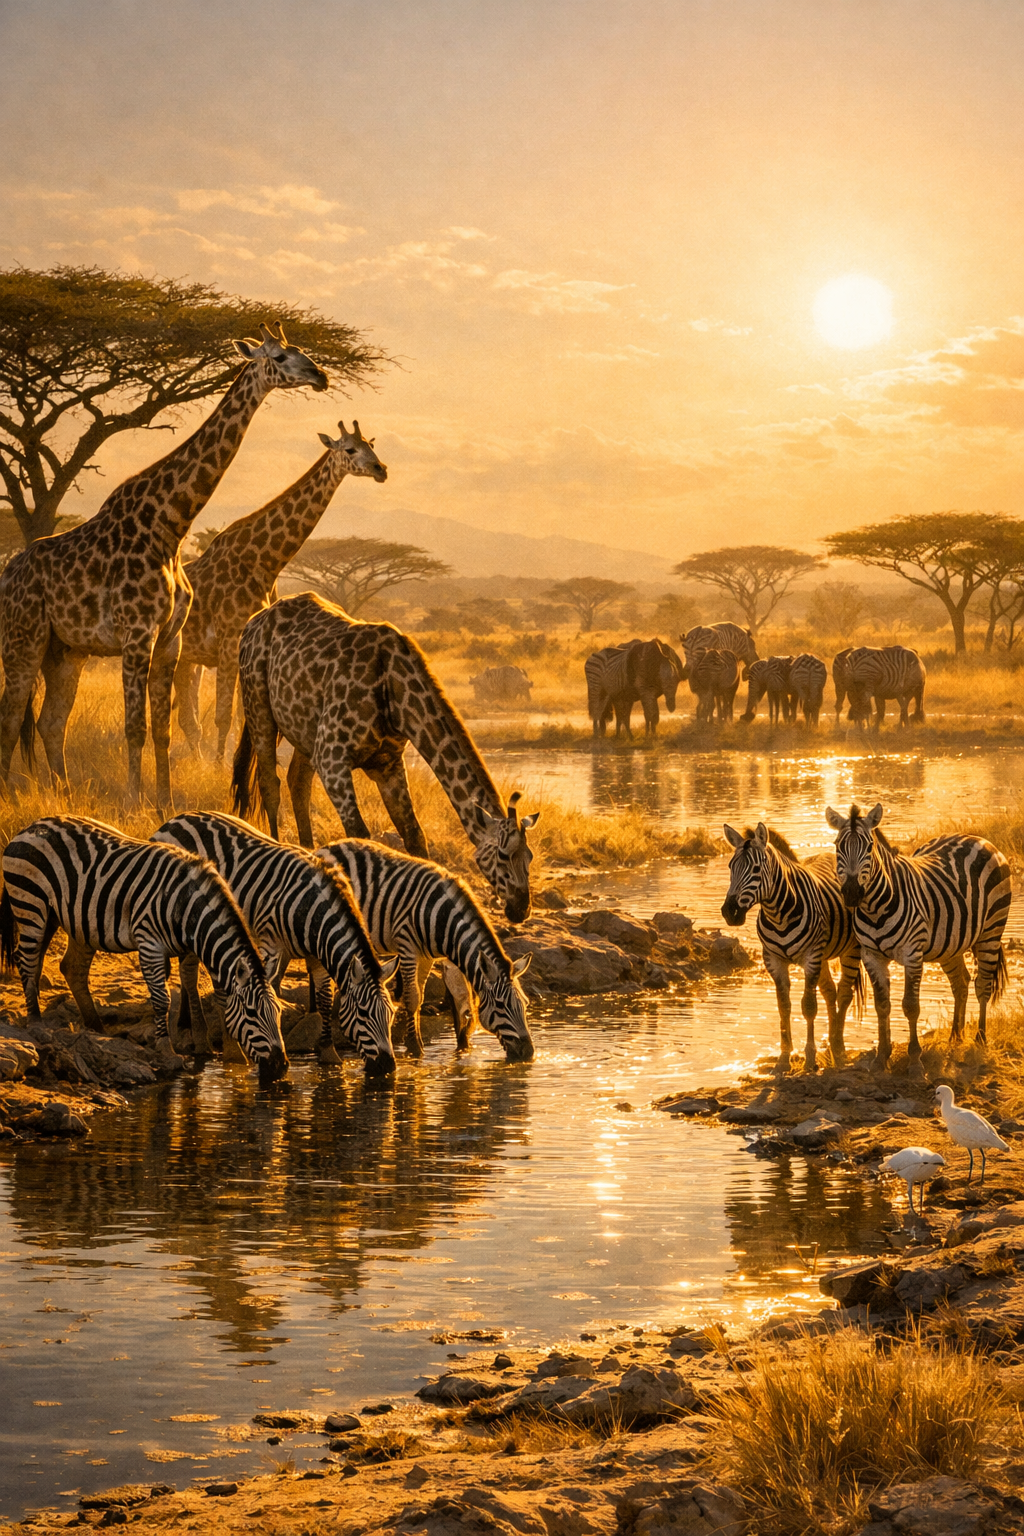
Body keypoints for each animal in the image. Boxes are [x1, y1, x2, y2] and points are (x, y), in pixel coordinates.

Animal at [0, 816, 288, 1082]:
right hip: (31, 905)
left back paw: (96, 1027)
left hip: (66, 918)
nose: (281, 1067)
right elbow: (162, 999)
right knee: (27, 961)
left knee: (66, 967)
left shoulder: (192, 946)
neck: (187, 907)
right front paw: (166, 1050)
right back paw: (36, 1023)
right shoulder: (149, 942)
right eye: (252, 1013)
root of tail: (30, 827)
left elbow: (207, 989)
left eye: (279, 1012)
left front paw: (232, 1056)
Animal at [152, 812, 397, 1075]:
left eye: (391, 1014)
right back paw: (205, 1041)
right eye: (363, 1013)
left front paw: (328, 1052)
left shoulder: (317, 953)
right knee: (188, 974)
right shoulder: (270, 943)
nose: (388, 1066)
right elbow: (270, 990)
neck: (310, 910)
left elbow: (324, 998)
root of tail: (176, 818)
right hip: (190, 919)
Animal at [316, 838, 535, 1061]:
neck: (442, 918)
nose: (529, 1054)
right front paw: (415, 1048)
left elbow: (420, 997)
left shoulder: (427, 956)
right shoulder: (407, 947)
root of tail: (328, 846)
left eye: (525, 1004)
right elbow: (412, 998)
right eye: (501, 1005)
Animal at [722, 823, 864, 1071]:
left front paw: (809, 1058)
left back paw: (838, 1045)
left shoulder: (811, 957)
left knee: (845, 994)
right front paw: (784, 1057)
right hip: (824, 956)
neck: (778, 914)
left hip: (850, 950)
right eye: (731, 866)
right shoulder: (773, 960)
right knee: (830, 992)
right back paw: (831, 1041)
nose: (729, 912)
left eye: (756, 869)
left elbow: (808, 1006)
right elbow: (784, 1006)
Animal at [826, 802, 1011, 1068]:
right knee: (960, 983)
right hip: (950, 942)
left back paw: (980, 1039)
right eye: (837, 846)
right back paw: (955, 1037)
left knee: (983, 984)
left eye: (869, 847)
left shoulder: (912, 953)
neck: (874, 909)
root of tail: (976, 838)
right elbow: (882, 1005)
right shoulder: (871, 955)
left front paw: (914, 1060)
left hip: (991, 930)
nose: (851, 893)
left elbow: (910, 1006)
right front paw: (881, 1057)